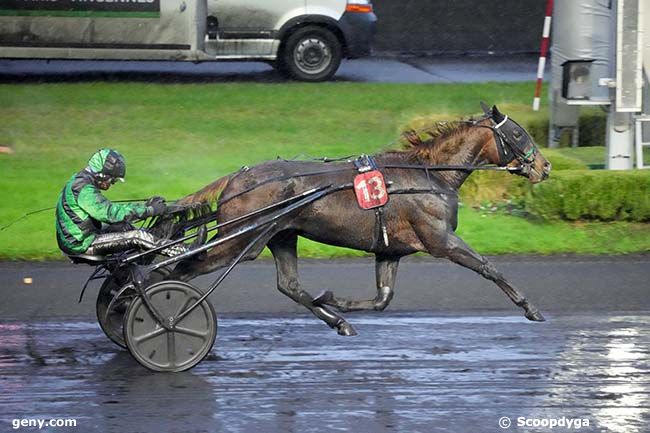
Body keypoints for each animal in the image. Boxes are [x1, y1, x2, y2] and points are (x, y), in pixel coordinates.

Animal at [165, 104, 548, 334]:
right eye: (518, 134)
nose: (544, 167)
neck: (429, 175)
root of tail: (235, 179)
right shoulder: (440, 240)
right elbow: (488, 267)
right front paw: (531, 308)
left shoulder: (390, 249)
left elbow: (382, 298)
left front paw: (333, 300)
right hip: (241, 240)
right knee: (184, 268)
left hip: (280, 235)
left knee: (289, 285)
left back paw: (338, 321)